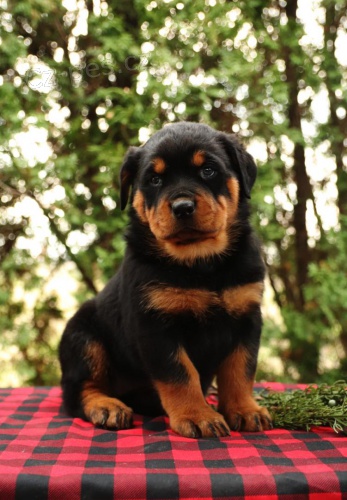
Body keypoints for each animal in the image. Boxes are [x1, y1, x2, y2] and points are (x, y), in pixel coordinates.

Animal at [59, 122, 272, 438]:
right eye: (155, 179)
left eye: (208, 170)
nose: (182, 207)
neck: (202, 263)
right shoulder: (155, 325)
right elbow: (180, 374)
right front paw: (197, 416)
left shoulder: (247, 318)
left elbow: (240, 370)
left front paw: (244, 410)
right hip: (83, 338)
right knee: (80, 390)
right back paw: (107, 407)